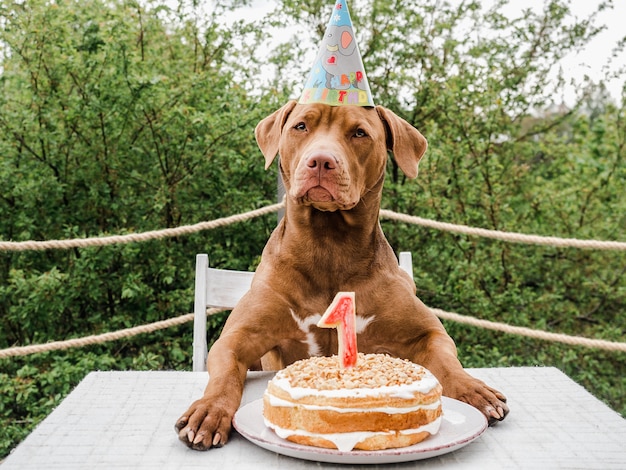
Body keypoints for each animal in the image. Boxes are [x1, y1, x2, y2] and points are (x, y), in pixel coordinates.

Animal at [174, 101, 508, 450]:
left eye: (359, 133)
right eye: (301, 126)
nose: (321, 161)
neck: (330, 245)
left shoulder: (427, 334)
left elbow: (448, 363)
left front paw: (473, 390)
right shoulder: (239, 338)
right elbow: (225, 375)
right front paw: (210, 411)